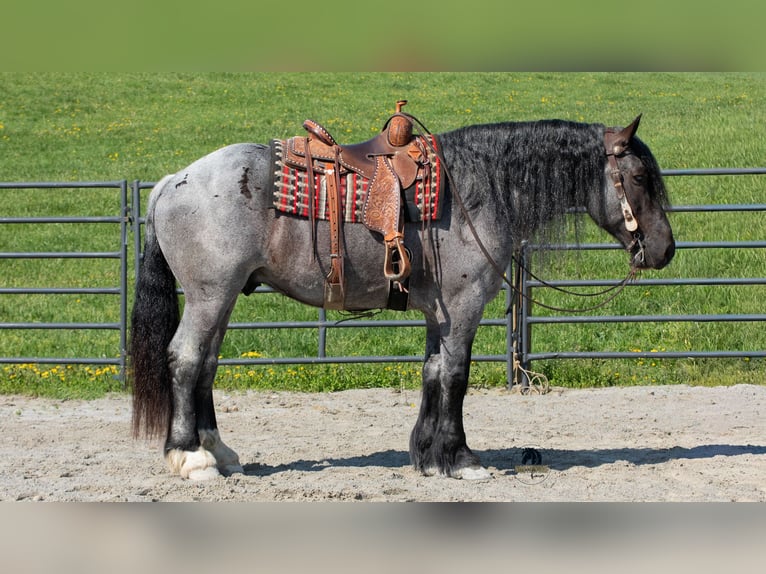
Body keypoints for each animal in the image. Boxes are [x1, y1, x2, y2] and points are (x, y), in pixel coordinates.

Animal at [129, 112, 675, 481]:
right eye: (640, 177)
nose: (665, 249)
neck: (476, 189)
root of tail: (172, 182)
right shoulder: (463, 306)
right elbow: (456, 377)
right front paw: (461, 458)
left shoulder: (440, 313)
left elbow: (432, 373)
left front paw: (428, 456)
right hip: (209, 296)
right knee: (185, 359)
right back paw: (191, 457)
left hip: (222, 299)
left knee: (206, 364)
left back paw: (220, 453)